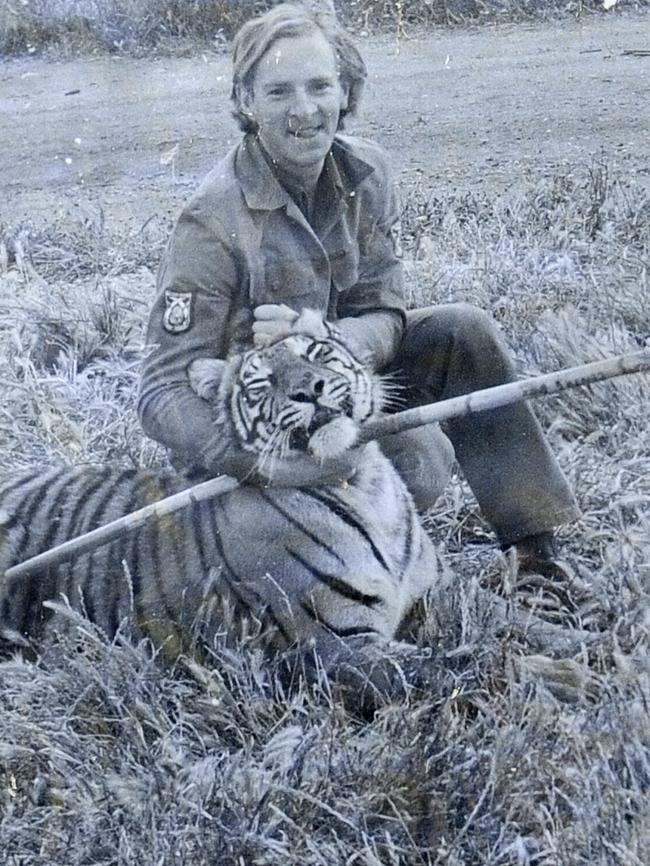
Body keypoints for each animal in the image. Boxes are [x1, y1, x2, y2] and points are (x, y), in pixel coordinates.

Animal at [0, 310, 440, 704]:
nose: (309, 389)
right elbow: (433, 667)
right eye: (264, 382)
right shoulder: (338, 647)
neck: (364, 485)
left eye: (315, 353)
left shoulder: (429, 597)